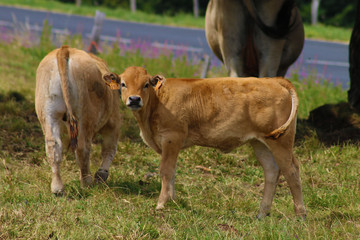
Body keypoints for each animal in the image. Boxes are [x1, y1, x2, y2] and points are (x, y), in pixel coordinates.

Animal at [35, 45, 122, 195]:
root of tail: (65, 49)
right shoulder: (113, 122)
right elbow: (109, 149)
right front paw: (101, 174)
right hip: (86, 115)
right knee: (83, 148)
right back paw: (86, 182)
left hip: (48, 113)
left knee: (53, 147)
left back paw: (57, 188)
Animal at [105, 66, 306, 219]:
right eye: (123, 84)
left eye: (146, 85)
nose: (134, 99)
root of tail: (274, 80)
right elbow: (172, 172)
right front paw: (173, 201)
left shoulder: (172, 137)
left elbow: (166, 170)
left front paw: (162, 204)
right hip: (261, 143)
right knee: (271, 171)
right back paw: (262, 214)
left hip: (281, 142)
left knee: (291, 171)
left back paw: (300, 215)